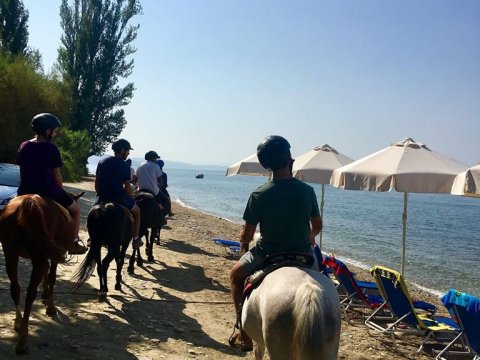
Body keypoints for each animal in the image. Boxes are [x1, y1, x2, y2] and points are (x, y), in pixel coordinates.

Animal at [0, 194, 83, 354]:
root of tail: (28, 202)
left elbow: (46, 274)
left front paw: (44, 295)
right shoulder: (56, 255)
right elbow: (52, 277)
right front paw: (50, 306)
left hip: (11, 253)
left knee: (16, 288)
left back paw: (18, 322)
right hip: (37, 255)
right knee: (30, 292)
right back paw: (23, 340)